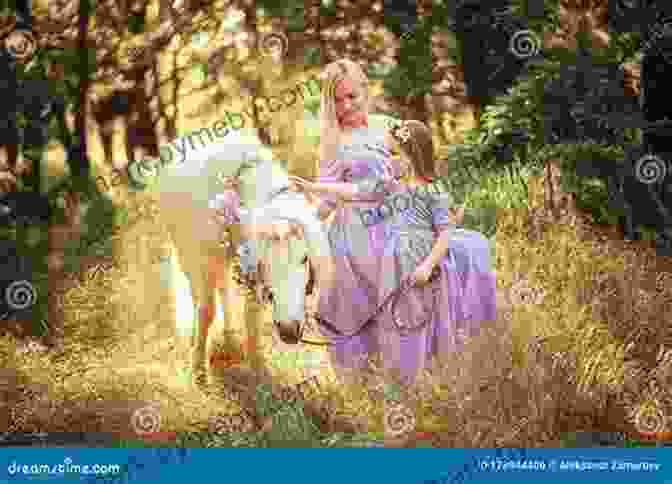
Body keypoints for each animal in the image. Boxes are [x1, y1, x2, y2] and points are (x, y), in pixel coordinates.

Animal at [138, 127, 334, 382]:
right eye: (264, 260)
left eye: (305, 258)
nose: (289, 330)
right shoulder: (206, 261)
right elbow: (207, 311)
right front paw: (199, 370)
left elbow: (251, 313)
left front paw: (258, 367)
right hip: (186, 254)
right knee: (198, 296)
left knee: (223, 289)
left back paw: (230, 339)